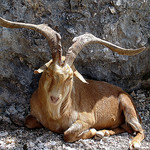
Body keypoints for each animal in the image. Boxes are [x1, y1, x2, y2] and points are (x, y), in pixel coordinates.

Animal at [0, 17, 145, 149]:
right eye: (48, 73)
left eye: (70, 77)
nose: (54, 98)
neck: (55, 115)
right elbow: (28, 122)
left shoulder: (87, 119)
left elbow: (68, 133)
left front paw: (92, 131)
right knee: (126, 127)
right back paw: (103, 133)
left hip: (127, 105)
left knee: (139, 129)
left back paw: (133, 143)